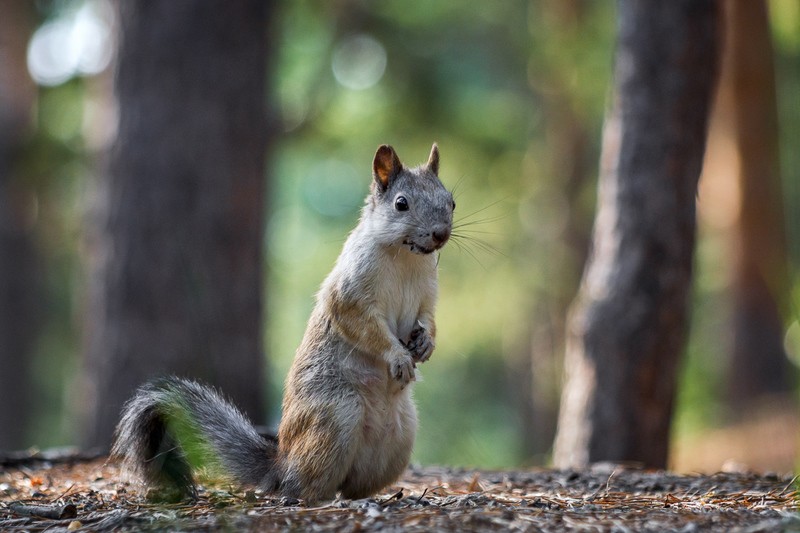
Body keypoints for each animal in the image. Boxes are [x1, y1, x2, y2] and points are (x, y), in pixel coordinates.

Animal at [109, 143, 454, 500]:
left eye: (451, 201)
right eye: (401, 203)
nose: (441, 235)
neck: (406, 259)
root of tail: (281, 463)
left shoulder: (427, 295)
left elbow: (429, 319)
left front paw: (426, 343)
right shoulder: (350, 294)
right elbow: (364, 326)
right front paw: (398, 356)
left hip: (399, 439)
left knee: (349, 485)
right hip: (335, 418)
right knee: (302, 483)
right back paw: (310, 496)